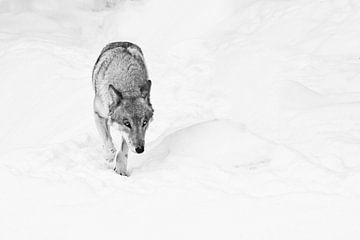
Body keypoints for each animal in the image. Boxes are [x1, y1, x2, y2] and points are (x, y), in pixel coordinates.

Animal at [91, 41, 153, 176]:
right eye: (127, 123)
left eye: (144, 123)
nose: (140, 149)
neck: (127, 84)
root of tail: (122, 41)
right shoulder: (98, 114)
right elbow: (107, 140)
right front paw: (109, 156)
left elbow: (123, 150)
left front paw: (121, 169)